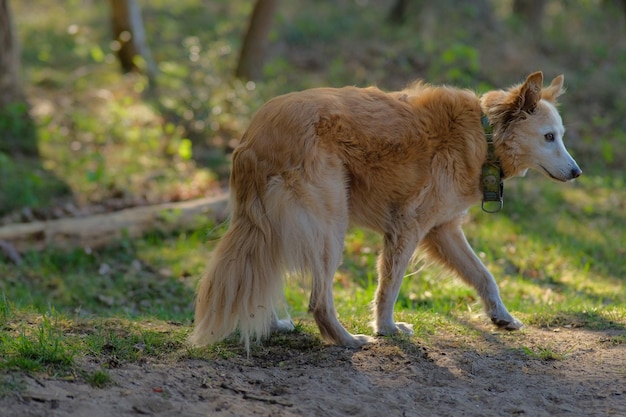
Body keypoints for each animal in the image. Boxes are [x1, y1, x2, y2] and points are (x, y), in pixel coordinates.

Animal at [189, 72, 580, 352]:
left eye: (560, 135)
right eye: (549, 137)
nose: (577, 173)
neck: (485, 135)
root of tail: (258, 135)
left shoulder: (443, 231)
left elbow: (484, 276)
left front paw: (502, 317)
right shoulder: (407, 227)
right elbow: (389, 288)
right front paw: (387, 329)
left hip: (272, 225)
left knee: (262, 277)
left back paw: (274, 324)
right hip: (330, 226)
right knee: (318, 301)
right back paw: (347, 340)